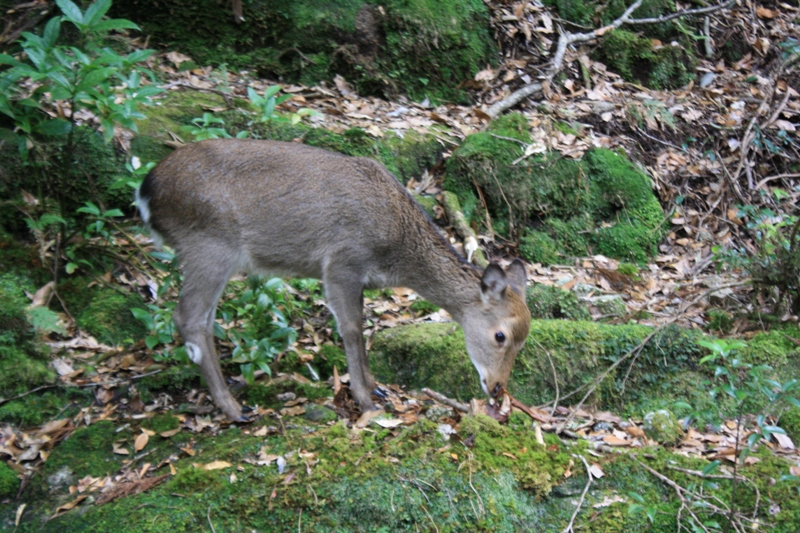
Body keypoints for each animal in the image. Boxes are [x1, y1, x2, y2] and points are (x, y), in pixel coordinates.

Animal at [137, 139, 532, 422]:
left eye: (523, 341)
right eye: (500, 335)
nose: (498, 388)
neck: (396, 251)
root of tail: (145, 192)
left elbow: (363, 328)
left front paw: (376, 388)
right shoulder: (342, 262)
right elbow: (353, 329)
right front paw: (366, 400)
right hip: (209, 246)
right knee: (189, 317)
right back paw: (235, 410)